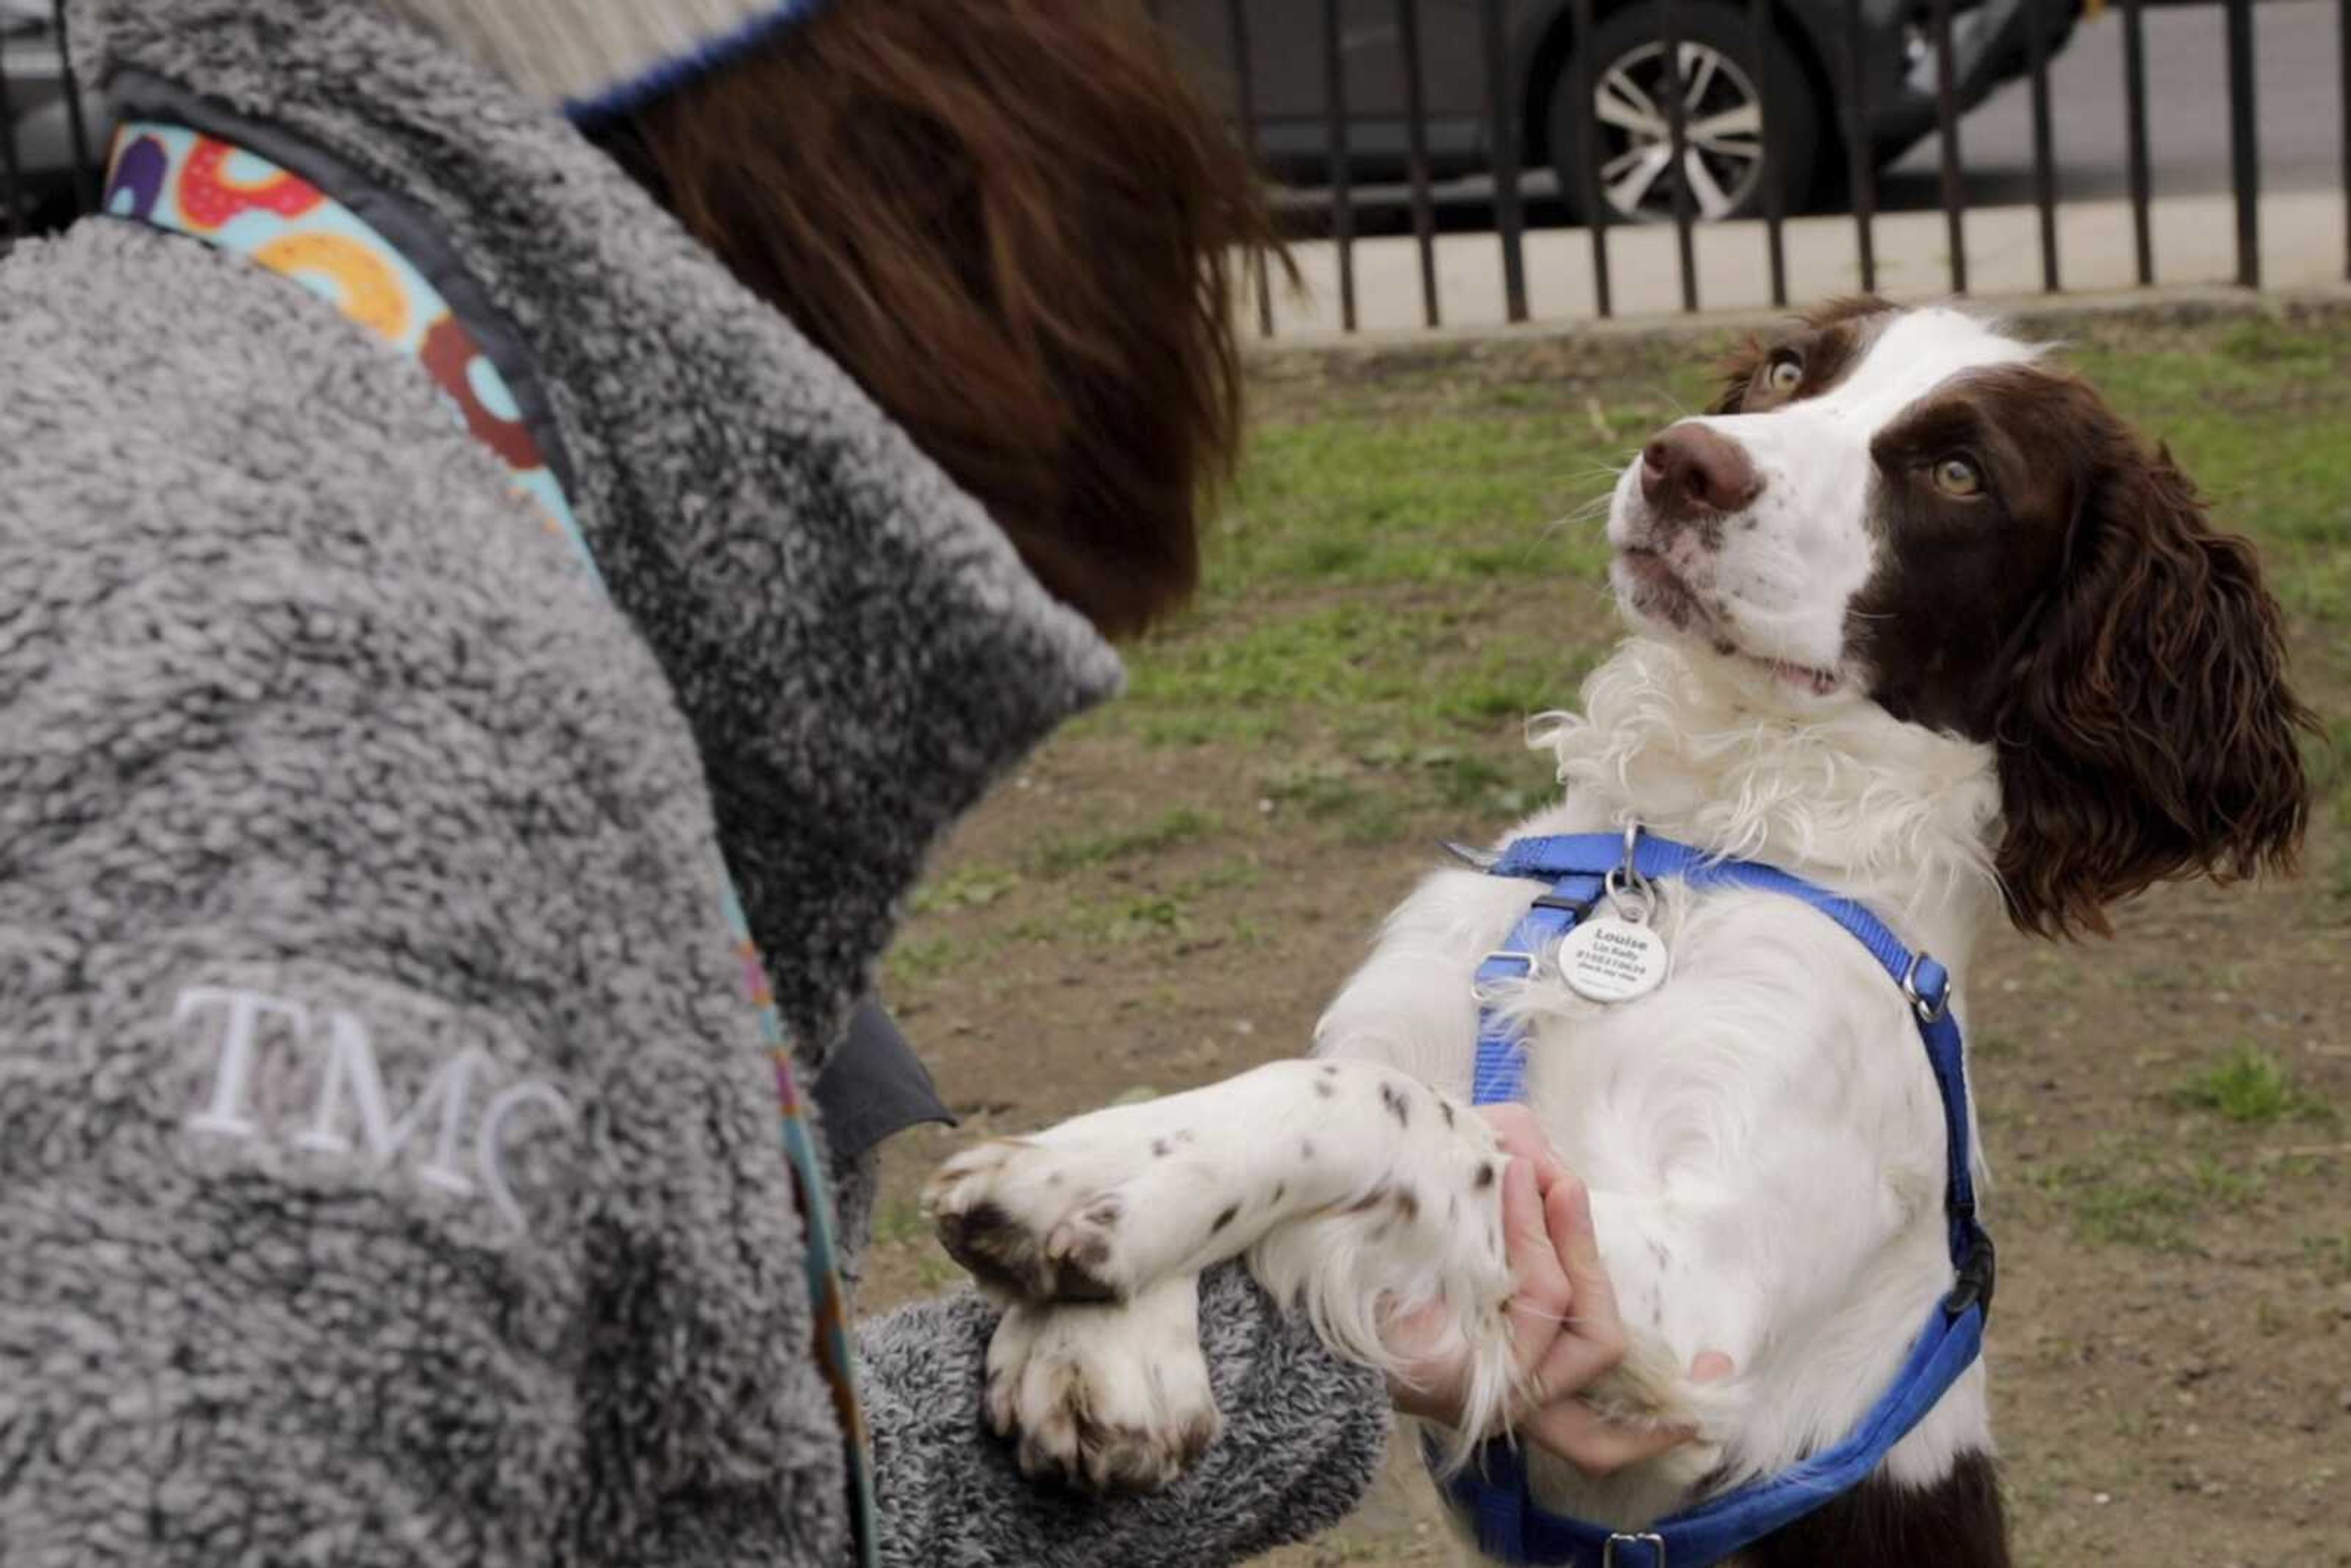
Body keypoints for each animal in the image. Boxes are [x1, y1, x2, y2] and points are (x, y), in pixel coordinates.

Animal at [921, 301, 2313, 1561]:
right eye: (1791, 370)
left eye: (1960, 472)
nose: (1684, 460)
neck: (1686, 847)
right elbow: (1309, 1089)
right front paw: (1104, 1326)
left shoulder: (1700, 1316)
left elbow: (1397, 1114)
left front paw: (1086, 1184)